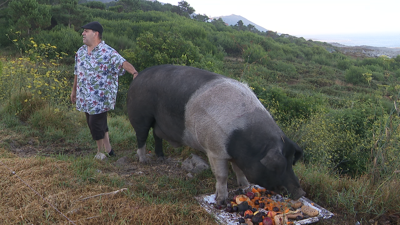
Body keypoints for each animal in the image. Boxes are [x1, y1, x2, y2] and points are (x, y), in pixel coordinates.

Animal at [128, 64, 306, 205]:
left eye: (291, 162)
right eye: (278, 166)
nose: (300, 193)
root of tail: (138, 76)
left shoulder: (236, 156)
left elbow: (239, 170)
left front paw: (245, 186)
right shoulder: (214, 151)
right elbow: (222, 176)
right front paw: (221, 200)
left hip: (157, 123)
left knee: (156, 136)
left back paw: (161, 158)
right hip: (141, 115)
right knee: (141, 137)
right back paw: (144, 161)